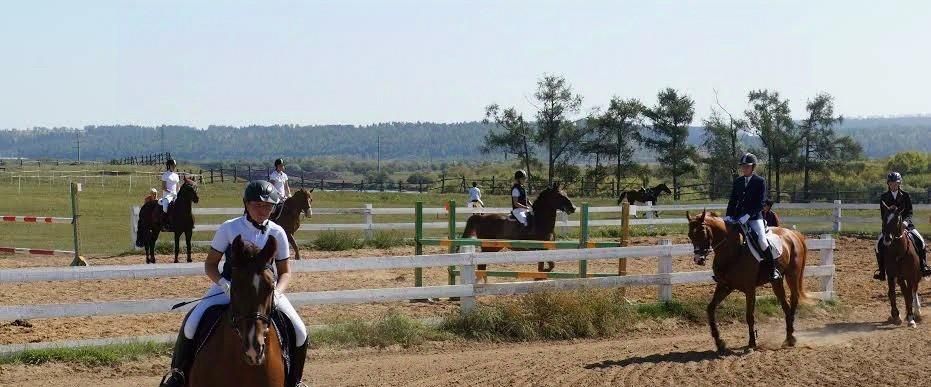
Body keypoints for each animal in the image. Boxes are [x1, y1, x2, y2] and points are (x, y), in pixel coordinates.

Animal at [684, 211, 808, 354]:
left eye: (702, 232)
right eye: (690, 235)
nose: (698, 260)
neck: (732, 250)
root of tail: (793, 234)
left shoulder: (750, 289)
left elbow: (749, 315)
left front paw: (752, 343)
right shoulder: (724, 286)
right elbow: (710, 309)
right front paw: (719, 342)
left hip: (792, 275)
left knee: (794, 299)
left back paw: (791, 337)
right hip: (776, 282)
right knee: (786, 306)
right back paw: (788, 337)